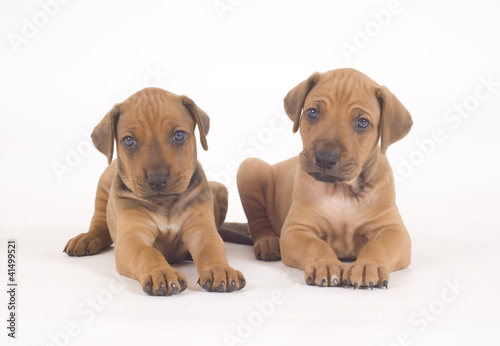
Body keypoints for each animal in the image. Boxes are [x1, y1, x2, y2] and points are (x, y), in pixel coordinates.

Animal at [65, 88, 245, 296]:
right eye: (128, 140)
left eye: (179, 135)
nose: (157, 180)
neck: (164, 204)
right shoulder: (132, 238)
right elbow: (148, 252)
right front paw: (162, 272)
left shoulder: (201, 230)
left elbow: (211, 249)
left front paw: (220, 269)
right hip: (104, 183)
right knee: (100, 224)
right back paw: (87, 238)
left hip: (220, 190)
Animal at [236, 68, 412, 290]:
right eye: (312, 112)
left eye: (363, 122)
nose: (325, 158)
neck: (343, 191)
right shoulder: (296, 230)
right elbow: (316, 244)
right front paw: (326, 264)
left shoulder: (394, 232)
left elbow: (377, 246)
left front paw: (366, 265)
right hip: (250, 168)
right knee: (257, 222)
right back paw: (268, 242)